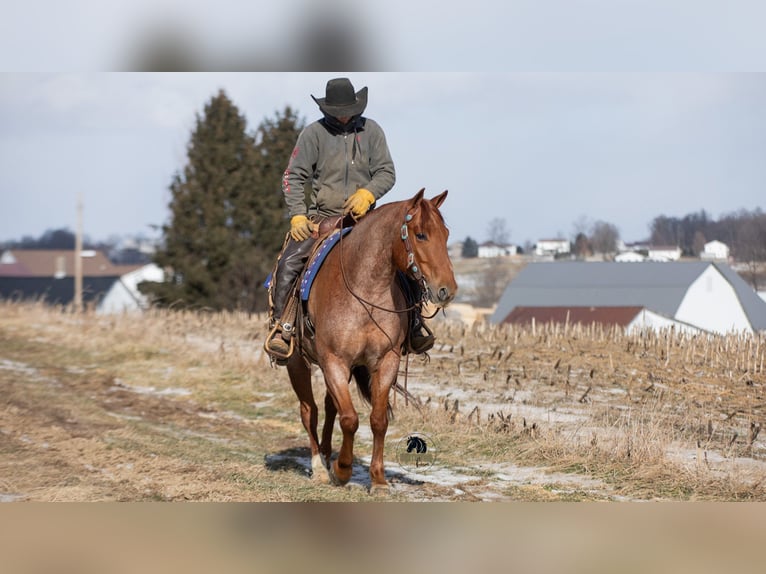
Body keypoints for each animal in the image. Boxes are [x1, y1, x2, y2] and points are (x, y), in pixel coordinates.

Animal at [285, 188, 457, 493]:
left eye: (446, 234)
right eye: (421, 235)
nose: (447, 289)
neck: (365, 289)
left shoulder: (385, 361)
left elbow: (377, 420)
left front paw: (378, 479)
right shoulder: (334, 361)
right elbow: (350, 419)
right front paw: (342, 470)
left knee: (329, 407)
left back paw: (327, 456)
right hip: (298, 363)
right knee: (310, 411)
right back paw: (319, 467)